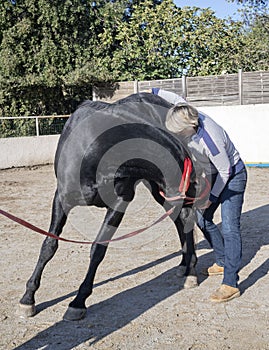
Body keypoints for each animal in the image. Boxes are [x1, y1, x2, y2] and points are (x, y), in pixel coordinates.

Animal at [19, 92, 207, 320]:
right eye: (191, 177)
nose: (197, 197)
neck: (95, 148)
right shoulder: (61, 198)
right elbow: (49, 245)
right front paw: (28, 298)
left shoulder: (120, 202)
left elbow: (98, 249)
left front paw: (78, 302)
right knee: (180, 222)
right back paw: (185, 265)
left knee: (180, 223)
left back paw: (189, 269)